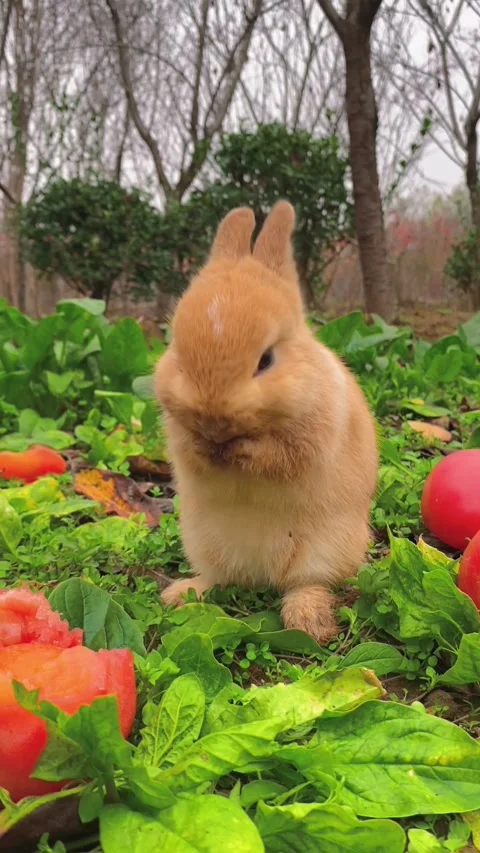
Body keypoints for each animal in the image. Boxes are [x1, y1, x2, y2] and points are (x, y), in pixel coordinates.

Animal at [154, 201, 378, 644]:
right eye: (178, 354)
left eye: (266, 360)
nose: (213, 416)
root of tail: (260, 574)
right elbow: (190, 453)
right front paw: (208, 448)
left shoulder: (310, 440)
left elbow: (278, 456)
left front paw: (238, 450)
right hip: (203, 542)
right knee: (220, 579)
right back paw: (181, 594)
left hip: (325, 548)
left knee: (308, 583)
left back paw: (308, 622)